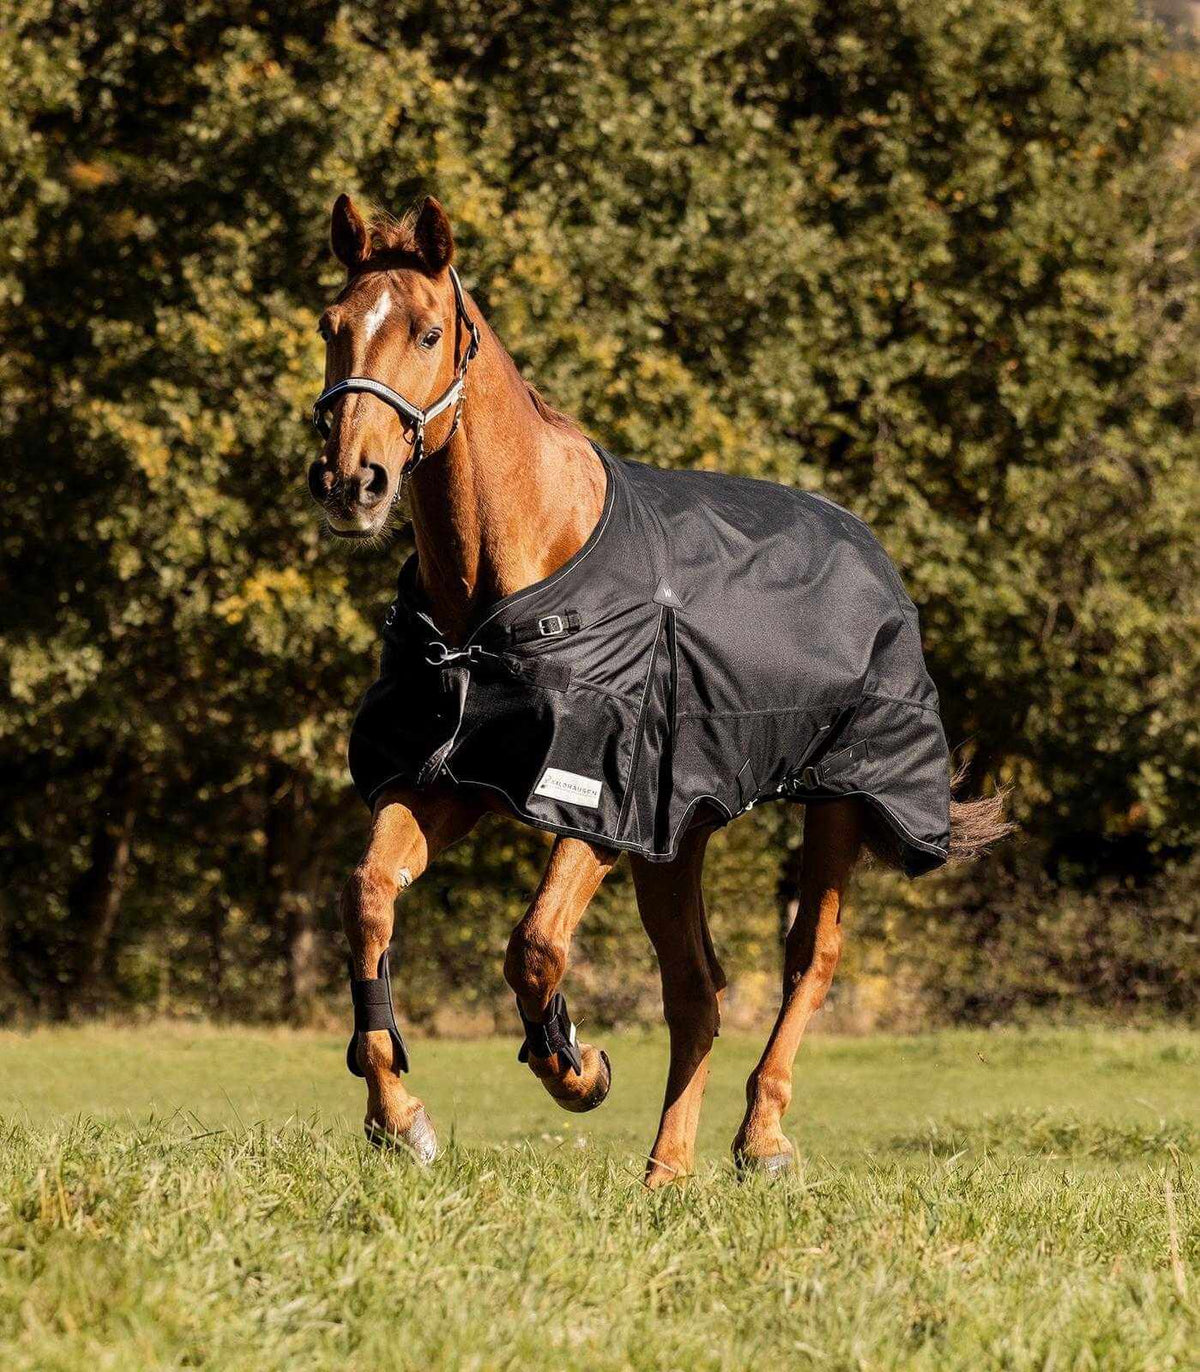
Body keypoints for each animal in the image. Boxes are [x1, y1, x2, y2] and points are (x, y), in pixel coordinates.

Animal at [306, 194, 1010, 1186]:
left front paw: (577, 1068)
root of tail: (868, 549)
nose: (351, 483)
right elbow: (369, 896)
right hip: (679, 833)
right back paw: (667, 1171)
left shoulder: (601, 799)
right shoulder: (450, 779)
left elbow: (535, 946)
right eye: (333, 327)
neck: (504, 591)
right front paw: (399, 1118)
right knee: (696, 990)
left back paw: (761, 1139)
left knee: (810, 957)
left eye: (428, 333)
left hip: (836, 800)